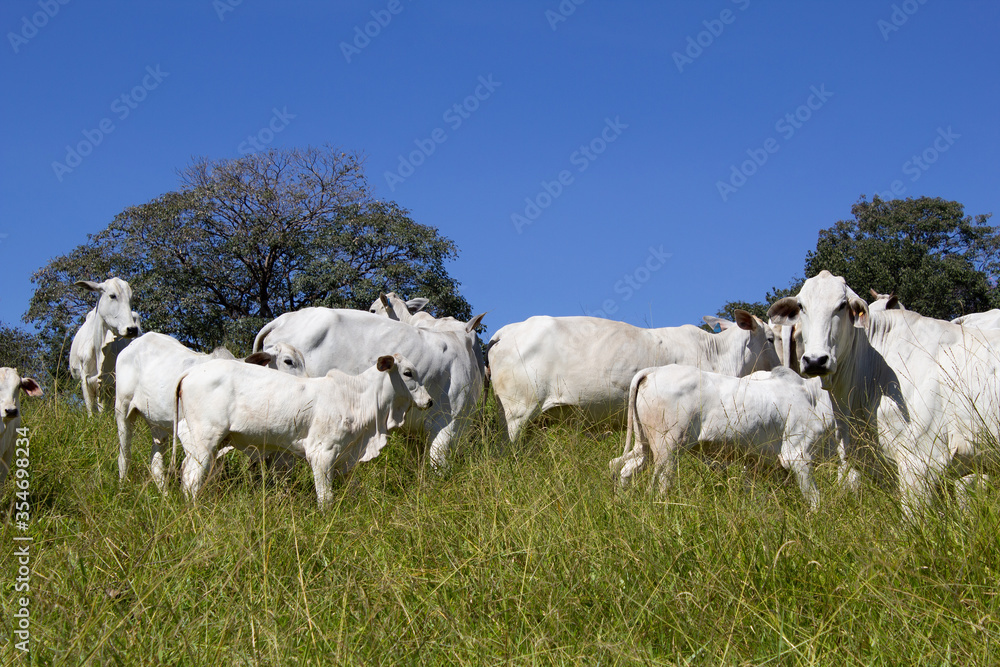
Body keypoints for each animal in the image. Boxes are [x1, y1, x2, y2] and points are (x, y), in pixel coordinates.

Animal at [69, 278, 141, 415]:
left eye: (131, 298)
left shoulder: (108, 383)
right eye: (112, 296)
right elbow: (91, 410)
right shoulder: (85, 380)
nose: (132, 329)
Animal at [115, 332, 307, 491]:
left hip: (159, 427)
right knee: (124, 455)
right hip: (123, 410)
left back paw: (164, 494)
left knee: (156, 462)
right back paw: (122, 485)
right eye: (288, 361)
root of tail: (136, 343)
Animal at [173, 354, 432, 509]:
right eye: (408, 373)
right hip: (205, 442)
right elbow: (326, 497)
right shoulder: (322, 453)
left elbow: (353, 488)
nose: (429, 401)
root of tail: (191, 373)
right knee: (192, 479)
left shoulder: (345, 456)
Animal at [609, 365, 830, 509]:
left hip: (644, 443)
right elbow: (815, 498)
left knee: (625, 468)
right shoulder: (798, 456)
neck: (813, 396)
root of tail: (652, 371)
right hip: (668, 448)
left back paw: (621, 500)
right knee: (661, 481)